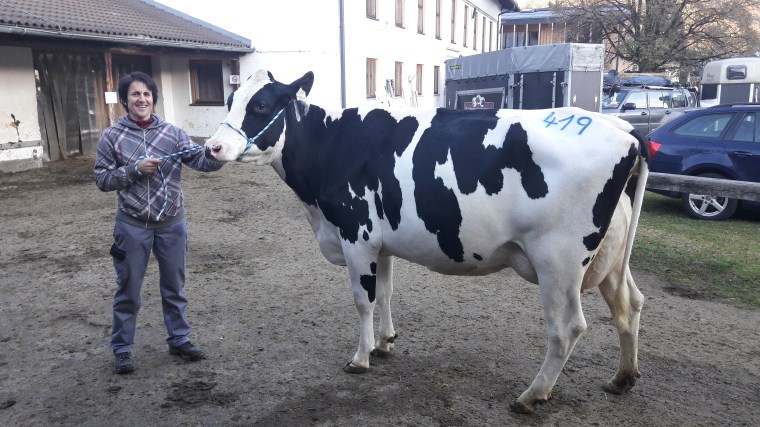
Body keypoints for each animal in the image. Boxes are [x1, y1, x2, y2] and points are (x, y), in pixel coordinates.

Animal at [204, 69, 650, 414]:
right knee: (629, 305)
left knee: (567, 328)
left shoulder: (356, 235)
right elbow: (385, 292)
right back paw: (622, 378)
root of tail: (622, 130)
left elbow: (363, 300)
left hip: (558, 260)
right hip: (610, 258)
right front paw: (385, 343)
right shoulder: (380, 242)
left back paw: (531, 395)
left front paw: (361, 357)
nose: (212, 147)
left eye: (261, 106)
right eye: (230, 99)